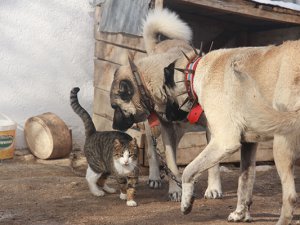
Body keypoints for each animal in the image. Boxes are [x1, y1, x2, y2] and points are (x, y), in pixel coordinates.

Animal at [110, 8, 300, 223]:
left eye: (115, 107)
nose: (114, 127)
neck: (194, 71)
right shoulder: (247, 144)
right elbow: (244, 180)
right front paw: (240, 212)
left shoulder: (223, 139)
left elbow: (192, 169)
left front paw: (191, 199)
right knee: (155, 150)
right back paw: (157, 176)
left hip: (281, 143)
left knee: (290, 197)